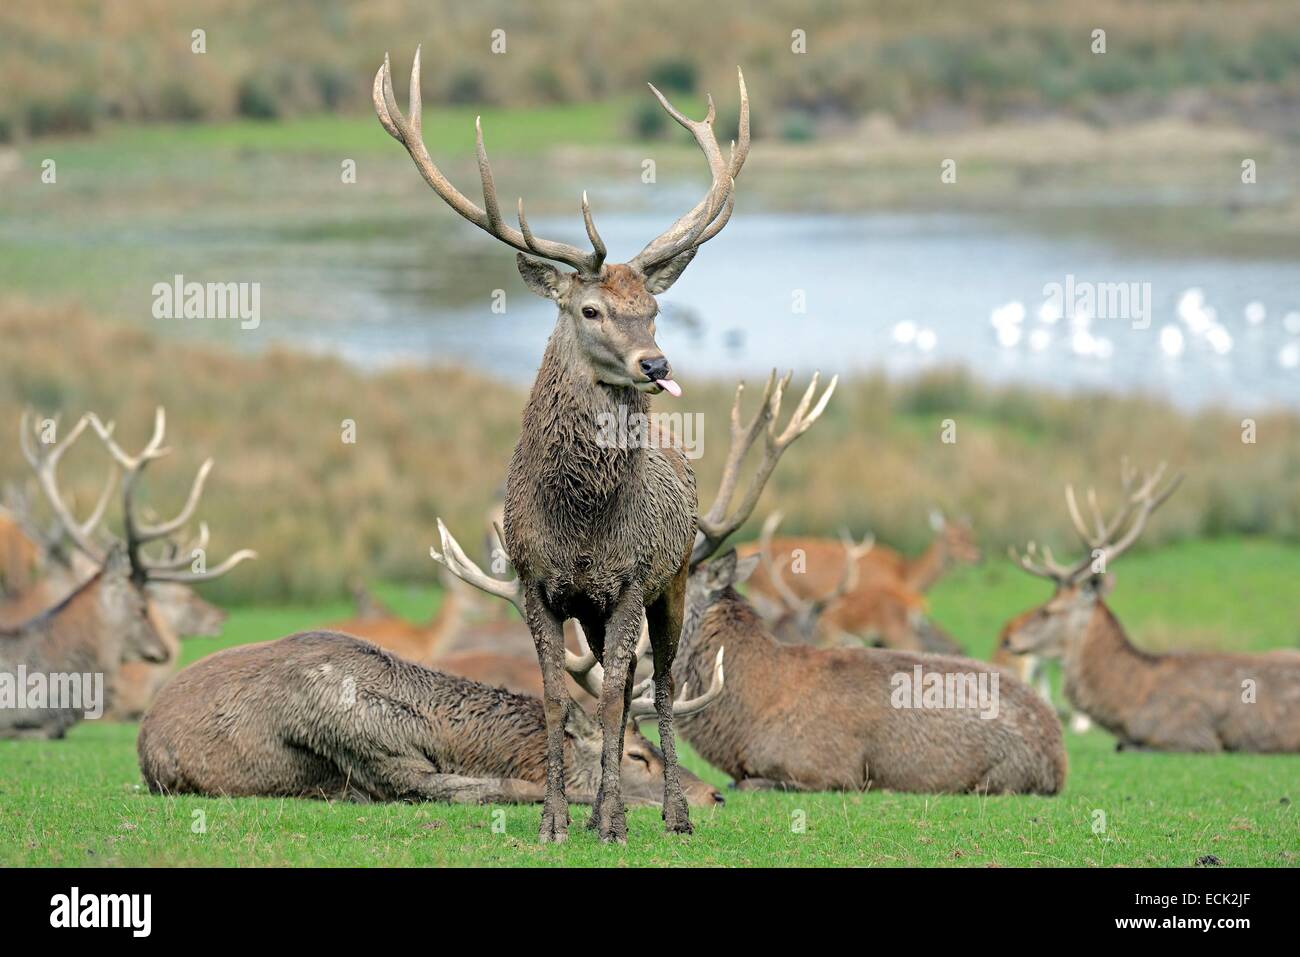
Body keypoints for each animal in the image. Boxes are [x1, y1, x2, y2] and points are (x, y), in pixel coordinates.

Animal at [375, 47, 750, 843]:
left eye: (653, 306)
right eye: (590, 308)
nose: (656, 364)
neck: (578, 523)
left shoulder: (631, 580)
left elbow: (613, 701)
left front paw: (610, 819)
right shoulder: (535, 582)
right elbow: (554, 697)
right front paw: (553, 819)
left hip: (674, 577)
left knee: (657, 685)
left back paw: (668, 813)